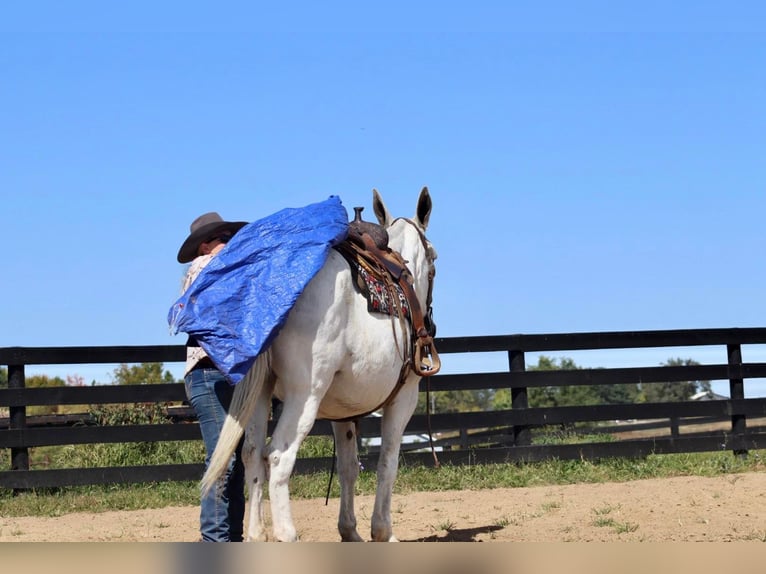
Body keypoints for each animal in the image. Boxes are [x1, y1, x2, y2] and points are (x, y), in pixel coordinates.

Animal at [201, 189, 438, 544]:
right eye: (434, 258)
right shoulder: (403, 398)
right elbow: (388, 462)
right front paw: (382, 531)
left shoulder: (344, 413)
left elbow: (348, 468)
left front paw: (350, 531)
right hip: (304, 396)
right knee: (278, 456)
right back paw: (287, 534)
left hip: (259, 396)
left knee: (252, 454)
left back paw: (257, 534)